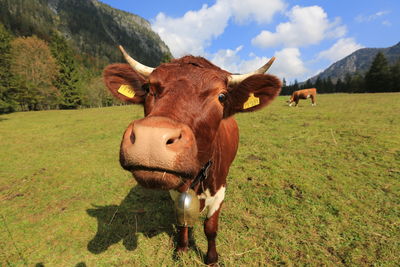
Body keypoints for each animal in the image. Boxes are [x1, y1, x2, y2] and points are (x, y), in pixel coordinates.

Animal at [101, 46, 280, 266]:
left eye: (221, 97)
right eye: (149, 88)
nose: (152, 137)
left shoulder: (220, 191)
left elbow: (210, 228)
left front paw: (211, 258)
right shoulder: (176, 190)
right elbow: (182, 222)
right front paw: (181, 249)